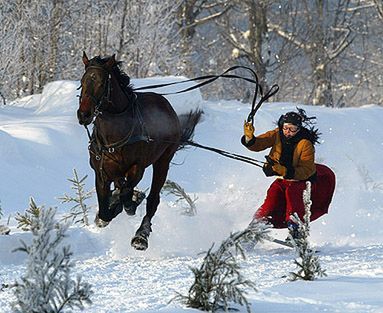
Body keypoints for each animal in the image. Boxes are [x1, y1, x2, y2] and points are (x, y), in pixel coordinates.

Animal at [78, 52, 204, 250]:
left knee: (152, 199)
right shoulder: (101, 172)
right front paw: (108, 210)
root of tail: (166, 105)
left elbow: (127, 195)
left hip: (163, 161)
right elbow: (105, 210)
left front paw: (131, 201)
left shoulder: (137, 167)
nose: (84, 114)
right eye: (82, 81)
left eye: (101, 83)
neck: (115, 135)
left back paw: (141, 235)